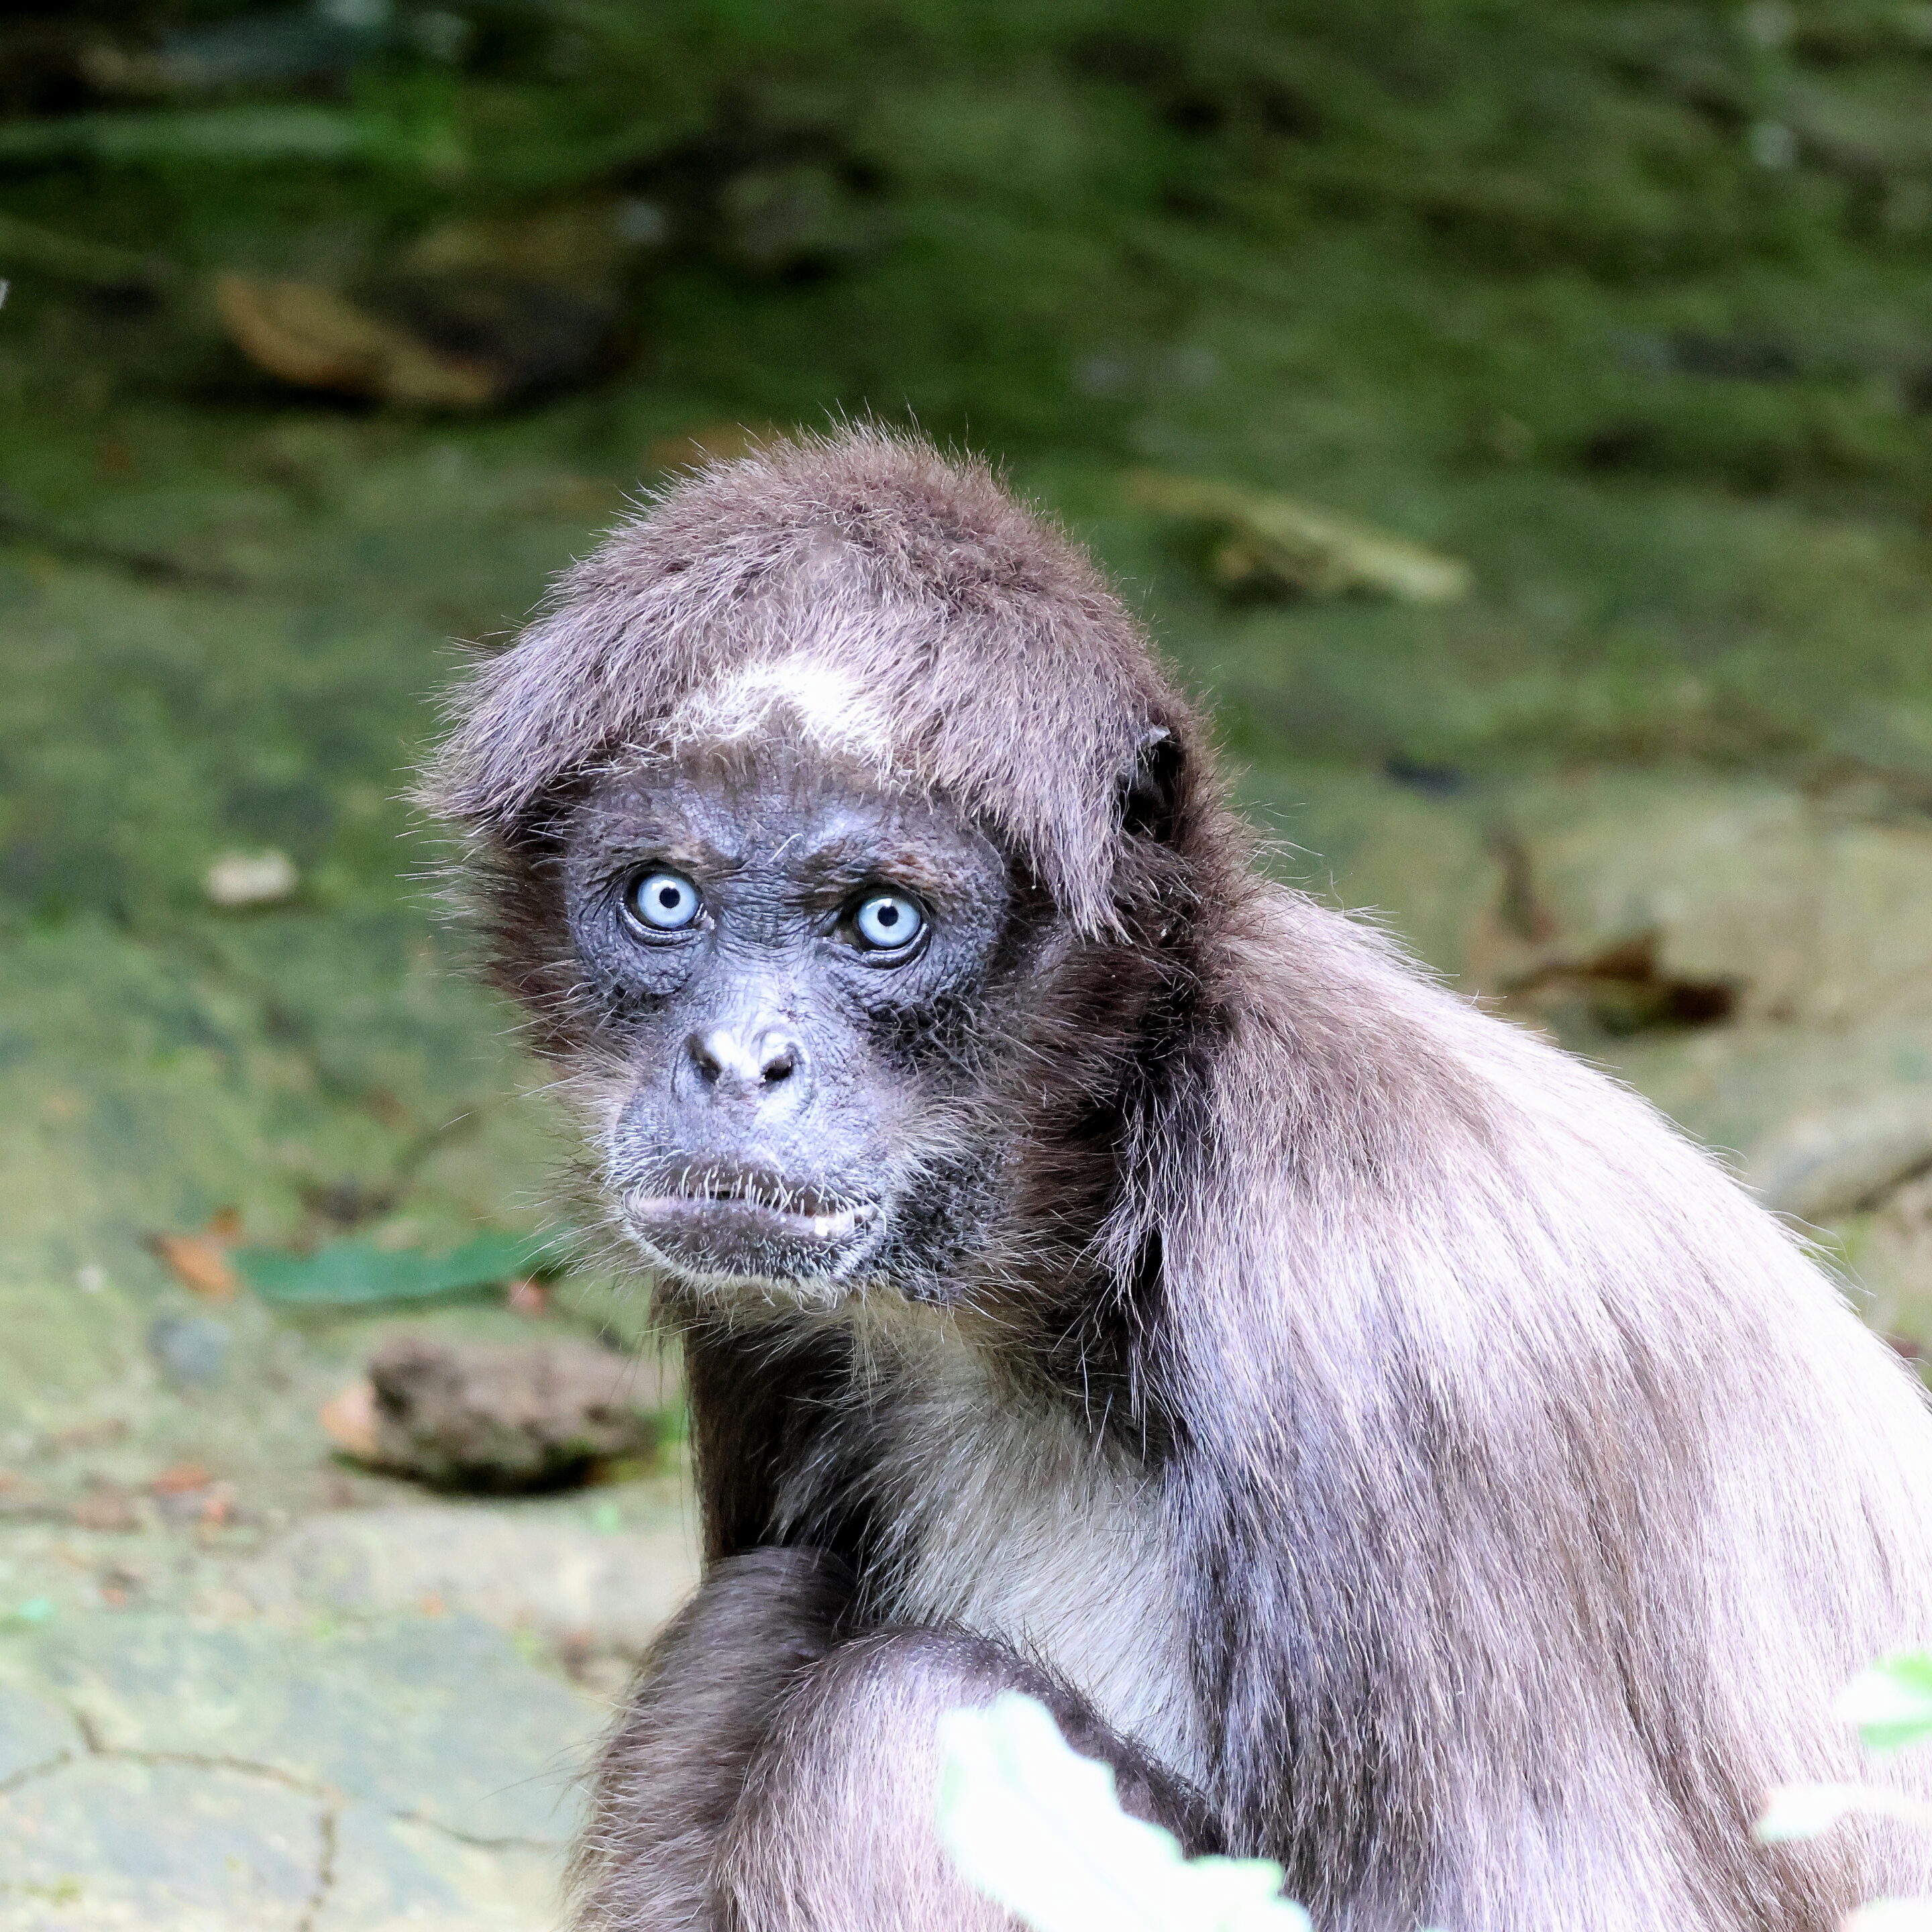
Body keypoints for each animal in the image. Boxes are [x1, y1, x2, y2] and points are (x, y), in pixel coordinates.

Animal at [427, 427, 1932, 1932]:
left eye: (883, 921)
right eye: (664, 900)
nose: (739, 1059)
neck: (1063, 1287)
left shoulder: (1374, 1329)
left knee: (894, 1719)